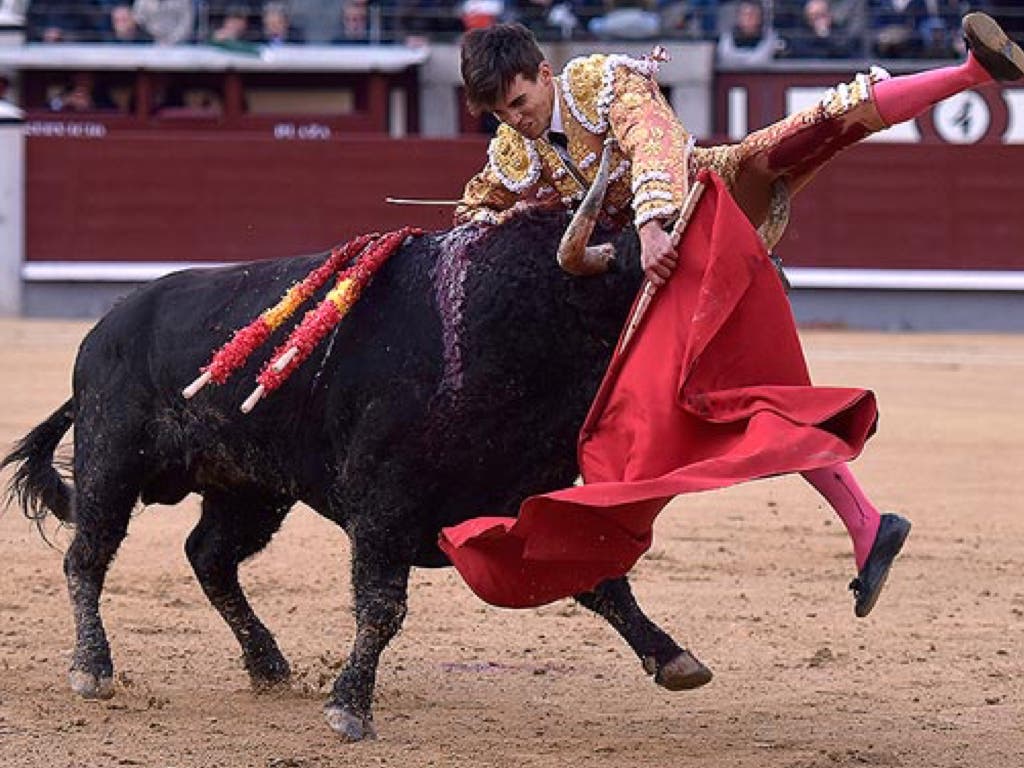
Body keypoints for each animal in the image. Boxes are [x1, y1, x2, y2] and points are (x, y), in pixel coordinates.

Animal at [6, 210, 712, 741]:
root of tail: (102, 329)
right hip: (111, 457)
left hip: (250, 489)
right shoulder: (384, 504)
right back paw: (92, 669)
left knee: (208, 555)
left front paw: (674, 659)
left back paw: (268, 665)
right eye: (641, 273)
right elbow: (380, 606)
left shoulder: (528, 497)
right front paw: (350, 708)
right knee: (88, 557)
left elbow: (600, 579)